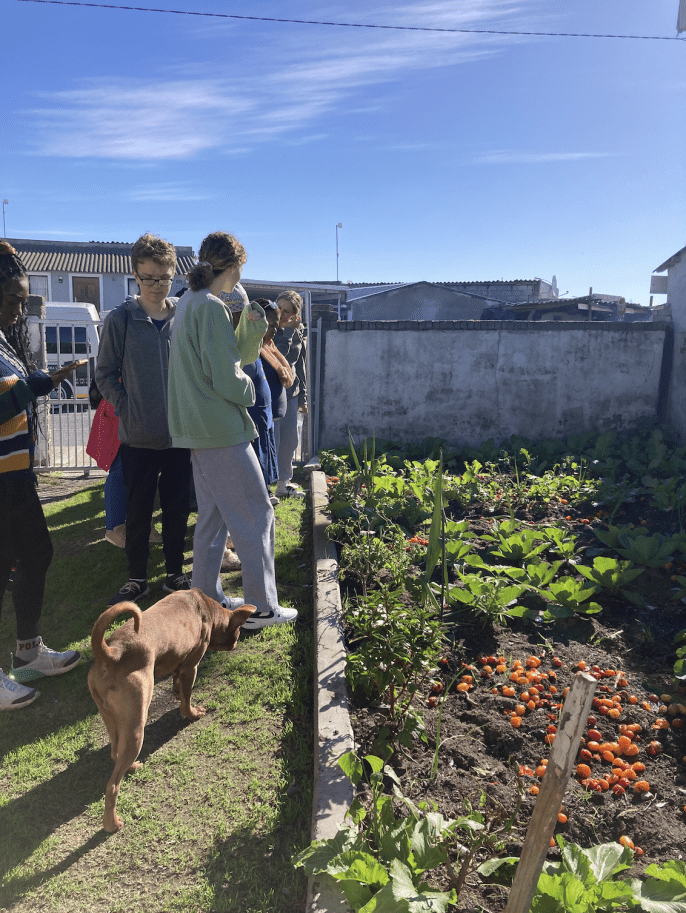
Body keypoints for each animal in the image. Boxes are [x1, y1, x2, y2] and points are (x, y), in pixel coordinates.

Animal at [88, 588, 254, 832]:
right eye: (239, 630)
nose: (236, 642)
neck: (206, 608)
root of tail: (110, 652)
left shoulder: (179, 664)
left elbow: (178, 687)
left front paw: (176, 693)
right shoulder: (190, 666)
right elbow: (187, 698)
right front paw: (193, 714)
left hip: (112, 720)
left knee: (115, 753)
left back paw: (132, 766)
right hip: (137, 725)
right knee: (112, 785)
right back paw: (112, 823)